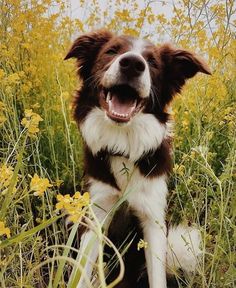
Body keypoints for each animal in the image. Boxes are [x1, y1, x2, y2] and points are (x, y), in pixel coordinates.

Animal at [64, 29, 210, 288]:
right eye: (111, 51)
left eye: (152, 63)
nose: (132, 64)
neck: (123, 143)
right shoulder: (96, 212)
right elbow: (80, 274)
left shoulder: (153, 217)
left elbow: (157, 277)